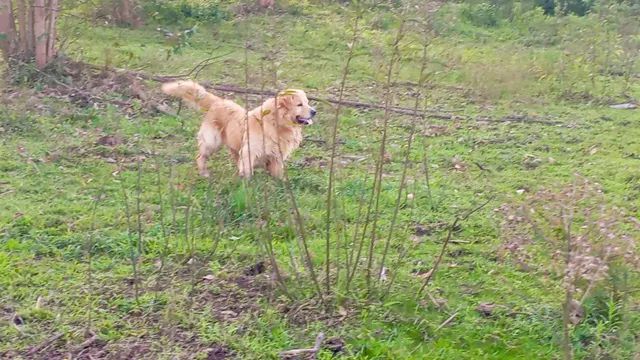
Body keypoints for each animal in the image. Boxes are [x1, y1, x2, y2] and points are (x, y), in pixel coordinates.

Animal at [161, 80, 316, 179]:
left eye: (307, 103)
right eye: (300, 104)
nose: (314, 111)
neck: (276, 123)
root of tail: (218, 102)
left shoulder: (276, 157)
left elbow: (277, 173)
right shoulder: (250, 151)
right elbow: (247, 170)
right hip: (212, 142)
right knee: (200, 157)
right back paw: (204, 173)